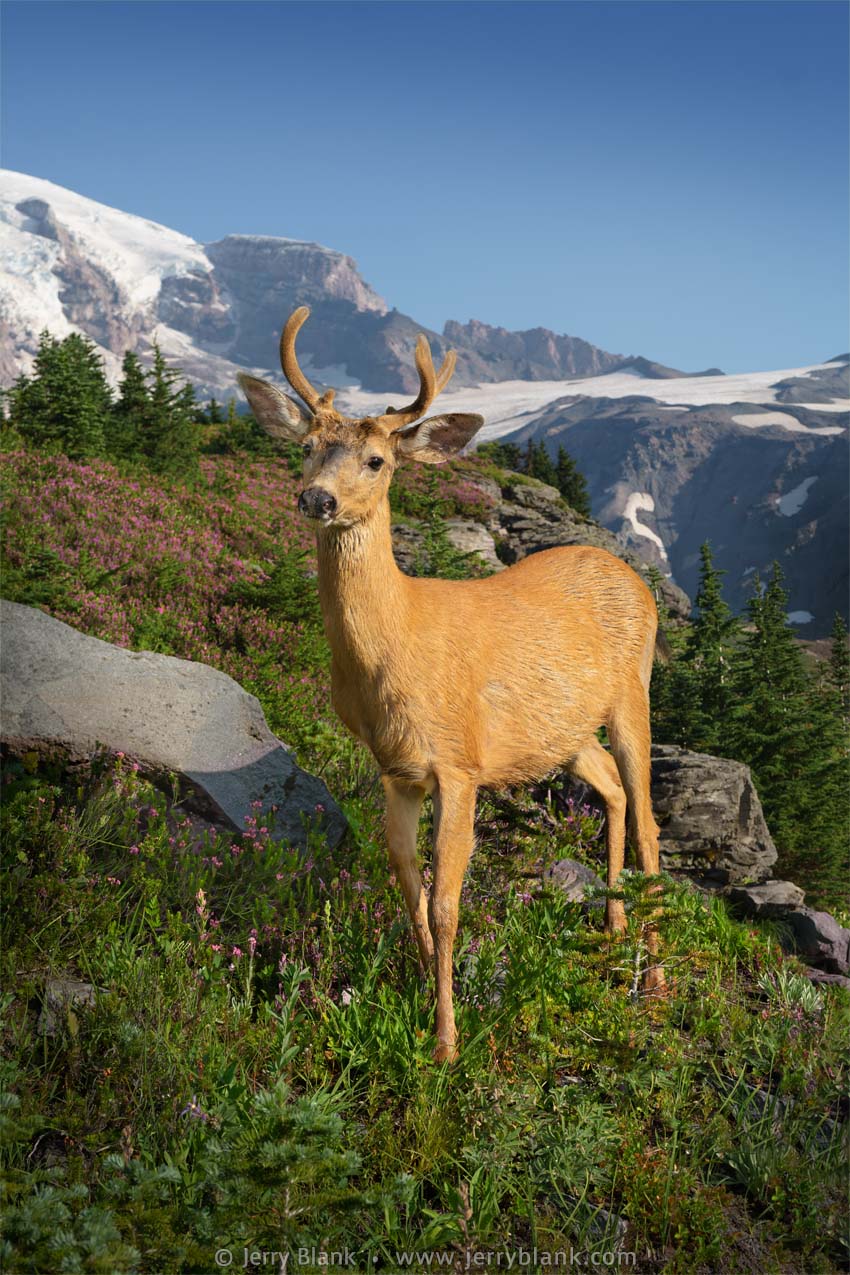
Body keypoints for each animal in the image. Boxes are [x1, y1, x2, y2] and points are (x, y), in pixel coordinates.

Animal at [238, 307, 666, 1063]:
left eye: (377, 460)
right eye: (309, 446)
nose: (316, 497)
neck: (394, 652)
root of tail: (635, 579)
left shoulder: (459, 763)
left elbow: (446, 902)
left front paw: (445, 1043)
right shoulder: (396, 771)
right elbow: (407, 885)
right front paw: (417, 992)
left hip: (631, 695)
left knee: (650, 820)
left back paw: (656, 979)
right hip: (560, 732)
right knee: (612, 790)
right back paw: (613, 928)